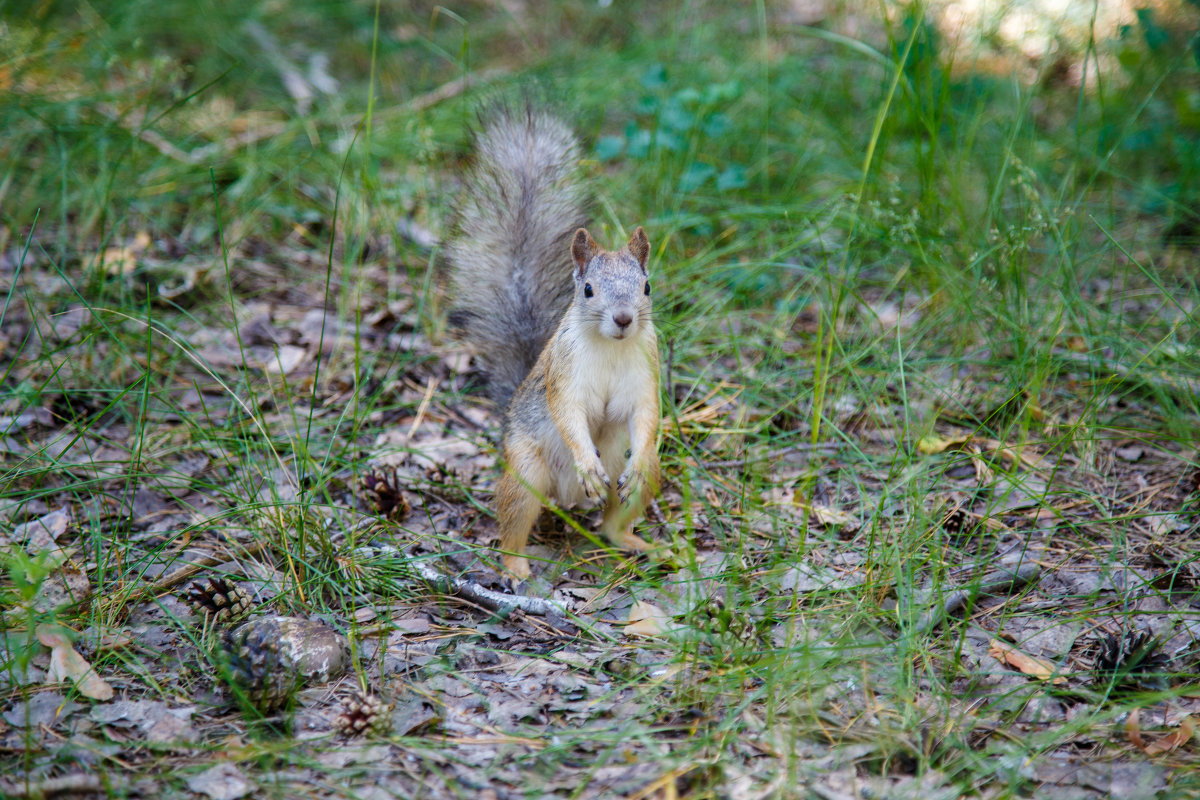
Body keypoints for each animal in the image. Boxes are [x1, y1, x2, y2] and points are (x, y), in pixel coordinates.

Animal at [446, 104, 662, 582]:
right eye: (588, 290)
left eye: (646, 287)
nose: (623, 319)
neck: (611, 346)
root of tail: (567, 498)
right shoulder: (564, 374)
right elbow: (568, 413)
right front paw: (586, 460)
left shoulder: (646, 372)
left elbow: (647, 414)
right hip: (526, 470)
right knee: (513, 523)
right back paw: (516, 568)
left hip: (637, 480)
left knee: (613, 520)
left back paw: (638, 542)